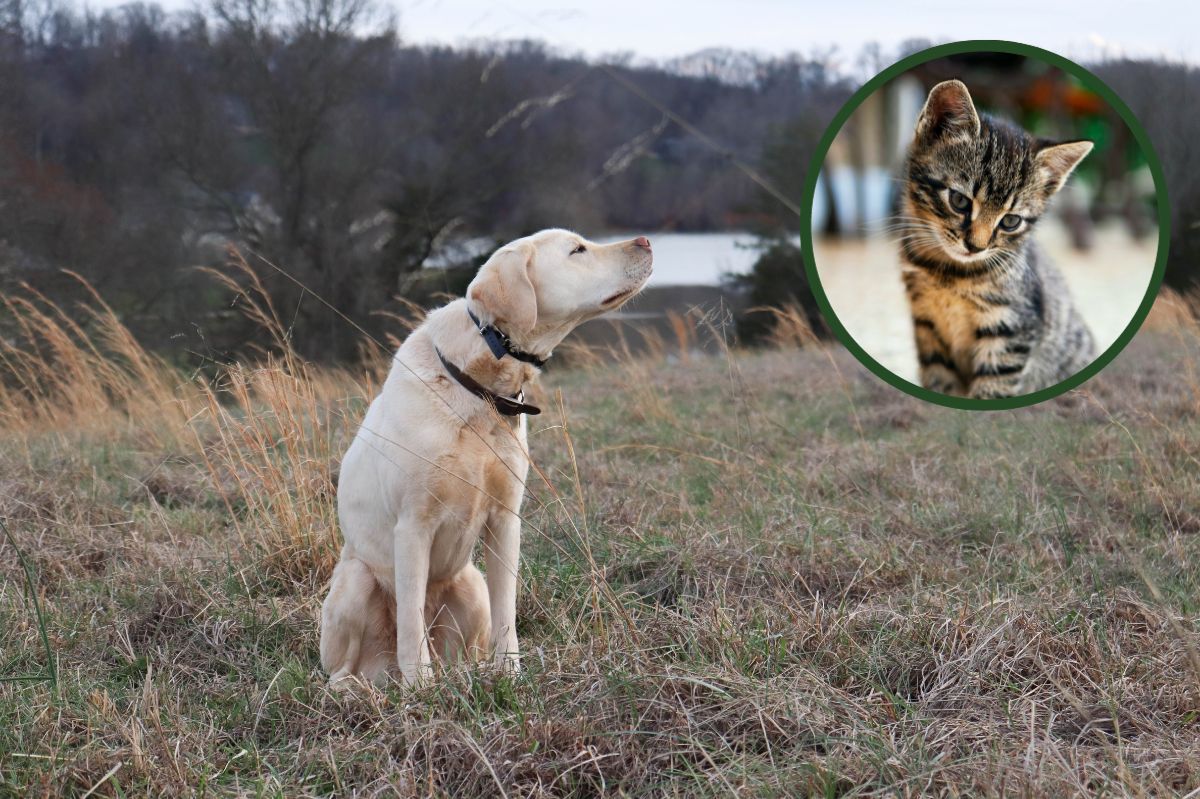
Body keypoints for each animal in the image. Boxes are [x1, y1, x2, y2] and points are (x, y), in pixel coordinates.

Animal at [321, 226, 657, 681]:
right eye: (577, 250)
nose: (646, 241)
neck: (477, 390)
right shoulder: (412, 527)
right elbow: (410, 621)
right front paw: (419, 687)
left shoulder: (505, 520)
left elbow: (506, 613)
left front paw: (510, 674)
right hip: (355, 579)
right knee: (346, 667)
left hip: (471, 583)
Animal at [902, 79, 1099, 395]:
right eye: (959, 201)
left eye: (1010, 221)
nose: (975, 246)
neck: (949, 273)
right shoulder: (927, 326)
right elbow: (939, 380)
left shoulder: (1013, 329)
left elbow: (992, 389)